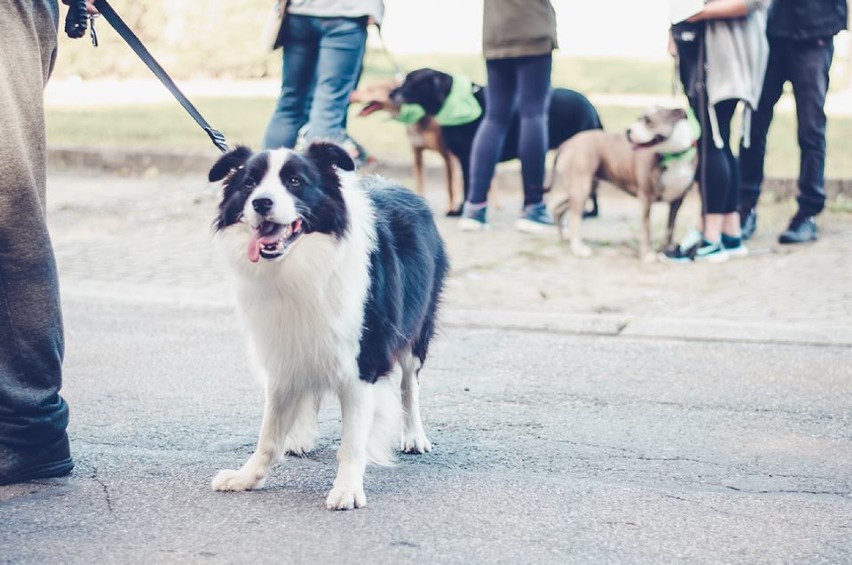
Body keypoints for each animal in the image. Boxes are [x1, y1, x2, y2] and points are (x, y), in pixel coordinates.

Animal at [208, 140, 446, 506]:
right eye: (249, 183)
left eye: (295, 181)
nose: (261, 202)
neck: (301, 264)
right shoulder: (283, 352)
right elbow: (269, 433)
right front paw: (247, 476)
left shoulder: (362, 363)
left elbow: (352, 441)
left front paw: (347, 489)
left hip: (416, 330)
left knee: (409, 385)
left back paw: (413, 435)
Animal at [390, 66, 604, 216]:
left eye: (411, 81)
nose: (391, 93)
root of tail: (592, 107)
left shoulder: (467, 158)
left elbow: (467, 186)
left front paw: (459, 211)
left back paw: (589, 213)